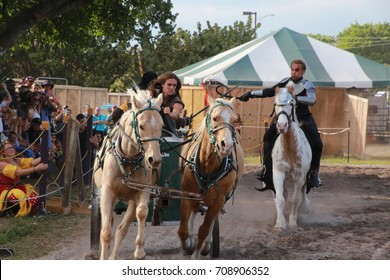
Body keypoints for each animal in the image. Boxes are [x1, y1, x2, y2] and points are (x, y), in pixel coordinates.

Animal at [93, 91, 163, 260]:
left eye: (162, 126)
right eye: (141, 125)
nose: (155, 160)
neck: (128, 159)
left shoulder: (143, 190)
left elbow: (141, 213)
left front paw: (139, 250)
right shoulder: (107, 193)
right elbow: (105, 232)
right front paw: (103, 256)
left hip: (131, 199)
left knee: (122, 228)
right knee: (110, 223)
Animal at [177, 95, 244, 260]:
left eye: (233, 120)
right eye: (214, 118)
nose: (227, 145)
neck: (208, 166)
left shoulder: (219, 200)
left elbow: (204, 229)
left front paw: (196, 252)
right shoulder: (187, 195)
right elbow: (182, 230)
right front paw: (188, 244)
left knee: (211, 220)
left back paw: (207, 245)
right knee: (194, 212)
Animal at [272, 87, 310, 230]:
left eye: (291, 103)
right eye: (275, 103)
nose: (282, 126)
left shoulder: (300, 175)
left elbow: (296, 199)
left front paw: (292, 222)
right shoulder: (278, 171)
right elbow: (280, 198)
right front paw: (280, 223)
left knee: (302, 194)